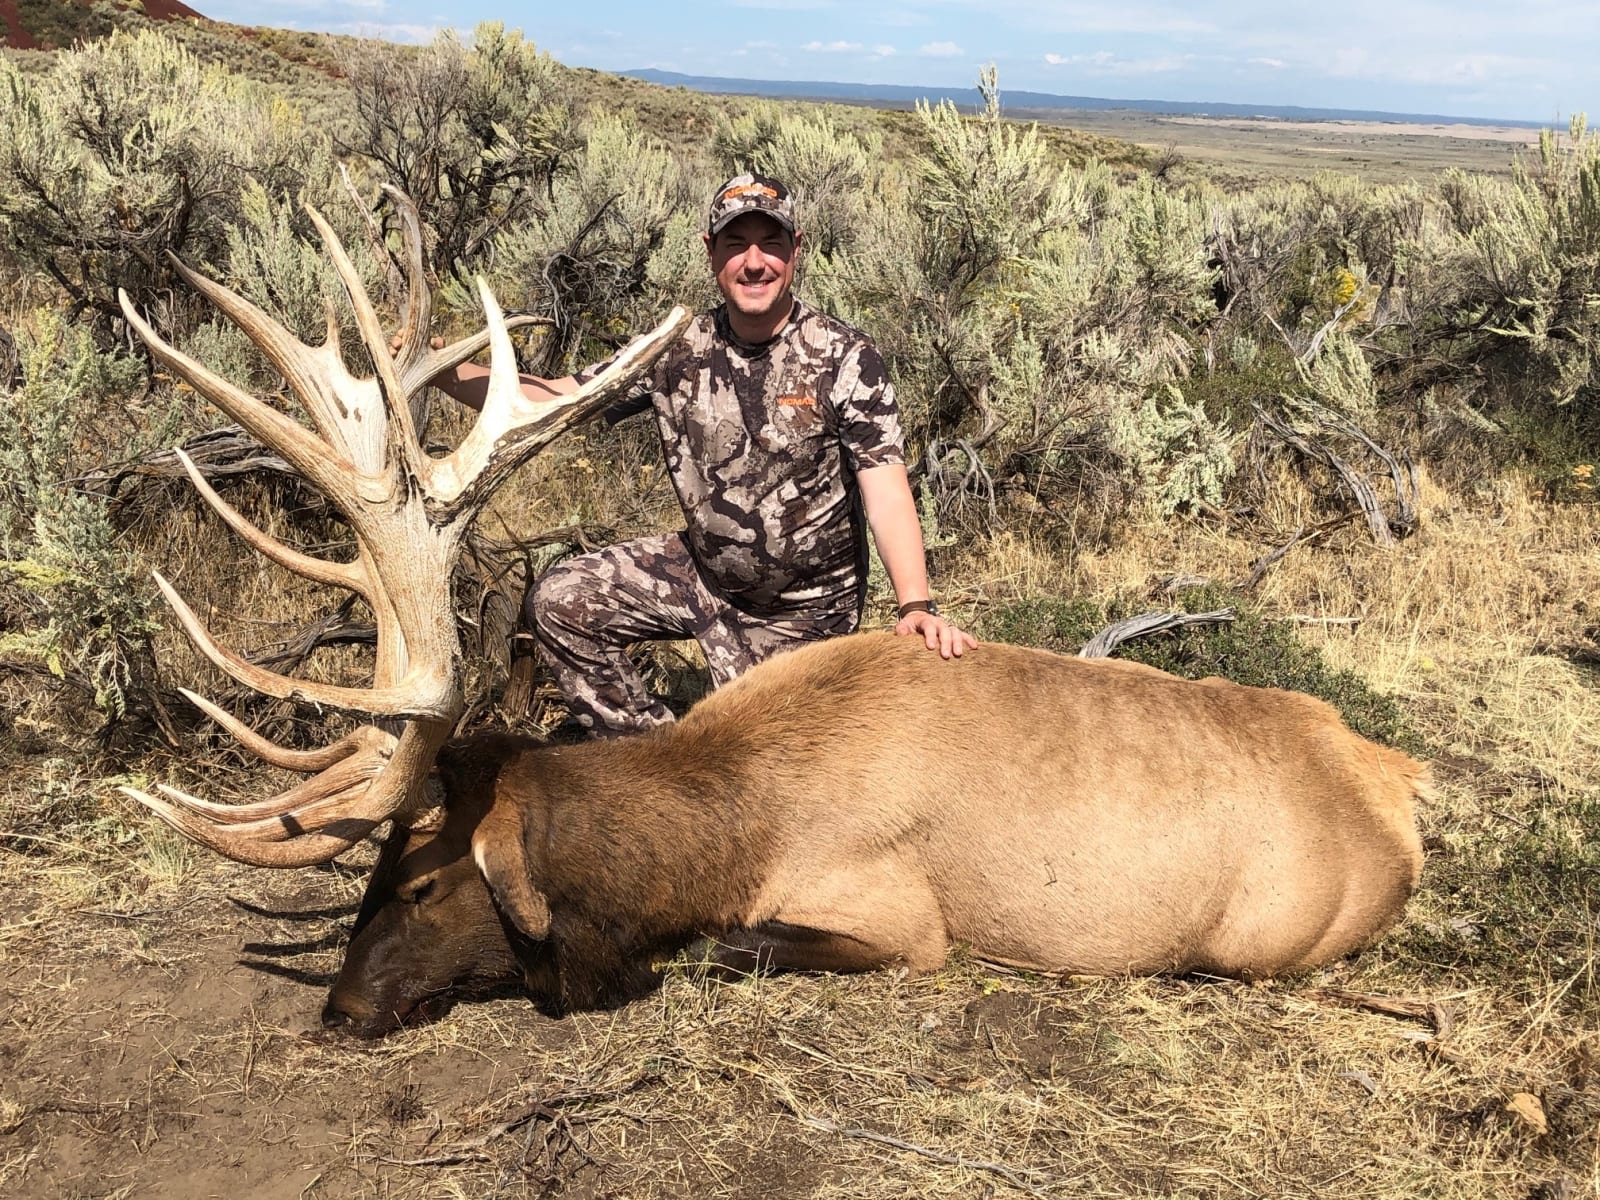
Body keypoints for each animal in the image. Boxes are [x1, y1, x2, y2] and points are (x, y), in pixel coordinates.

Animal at [119, 191, 1429, 1038]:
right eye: (377, 867)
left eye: (422, 882)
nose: (341, 1010)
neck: (732, 819)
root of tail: (1401, 780)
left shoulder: (900, 921)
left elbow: (722, 944)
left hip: (1275, 938)